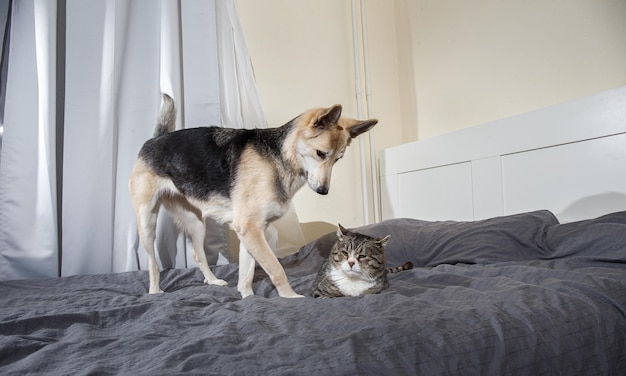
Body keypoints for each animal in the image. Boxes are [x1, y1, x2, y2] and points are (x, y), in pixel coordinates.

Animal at [127, 94, 376, 300]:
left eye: (337, 159)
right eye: (321, 154)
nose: (324, 191)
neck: (281, 156)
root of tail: (156, 139)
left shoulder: (251, 231)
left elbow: (246, 275)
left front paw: (248, 299)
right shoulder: (250, 229)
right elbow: (276, 268)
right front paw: (291, 298)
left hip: (196, 223)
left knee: (198, 255)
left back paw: (213, 281)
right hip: (147, 221)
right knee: (152, 263)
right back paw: (155, 292)